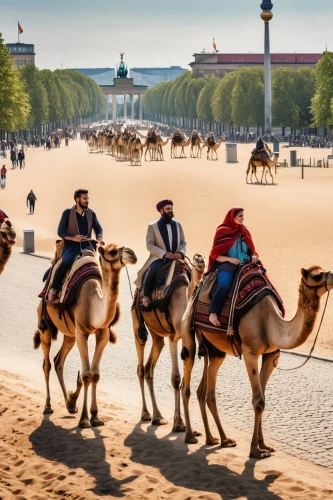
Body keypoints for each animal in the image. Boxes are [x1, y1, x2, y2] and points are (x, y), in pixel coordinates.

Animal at [33, 244, 136, 428]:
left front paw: (95, 416)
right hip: (44, 323)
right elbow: (87, 374)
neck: (93, 303)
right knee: (47, 364)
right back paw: (48, 406)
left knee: (58, 361)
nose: (132, 253)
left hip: (70, 334)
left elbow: (95, 374)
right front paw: (84, 419)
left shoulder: (103, 332)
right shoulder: (81, 332)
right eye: (112, 251)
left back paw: (70, 403)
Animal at [132, 254, 205, 430]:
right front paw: (178, 423)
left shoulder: (185, 337)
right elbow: (176, 378)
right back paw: (146, 413)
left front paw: (180, 421)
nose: (200, 259)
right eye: (195, 258)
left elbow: (182, 380)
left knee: (149, 367)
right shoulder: (173, 337)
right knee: (140, 366)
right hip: (137, 322)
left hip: (157, 334)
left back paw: (158, 416)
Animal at [180, 268, 332, 458]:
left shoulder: (272, 355)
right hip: (188, 331)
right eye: (317, 275)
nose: (332, 277)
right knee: (186, 384)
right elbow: (258, 401)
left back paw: (218, 439)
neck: (269, 321)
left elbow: (263, 398)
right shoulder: (250, 351)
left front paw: (264, 445)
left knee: (206, 391)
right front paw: (255, 450)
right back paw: (190, 435)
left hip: (214, 349)